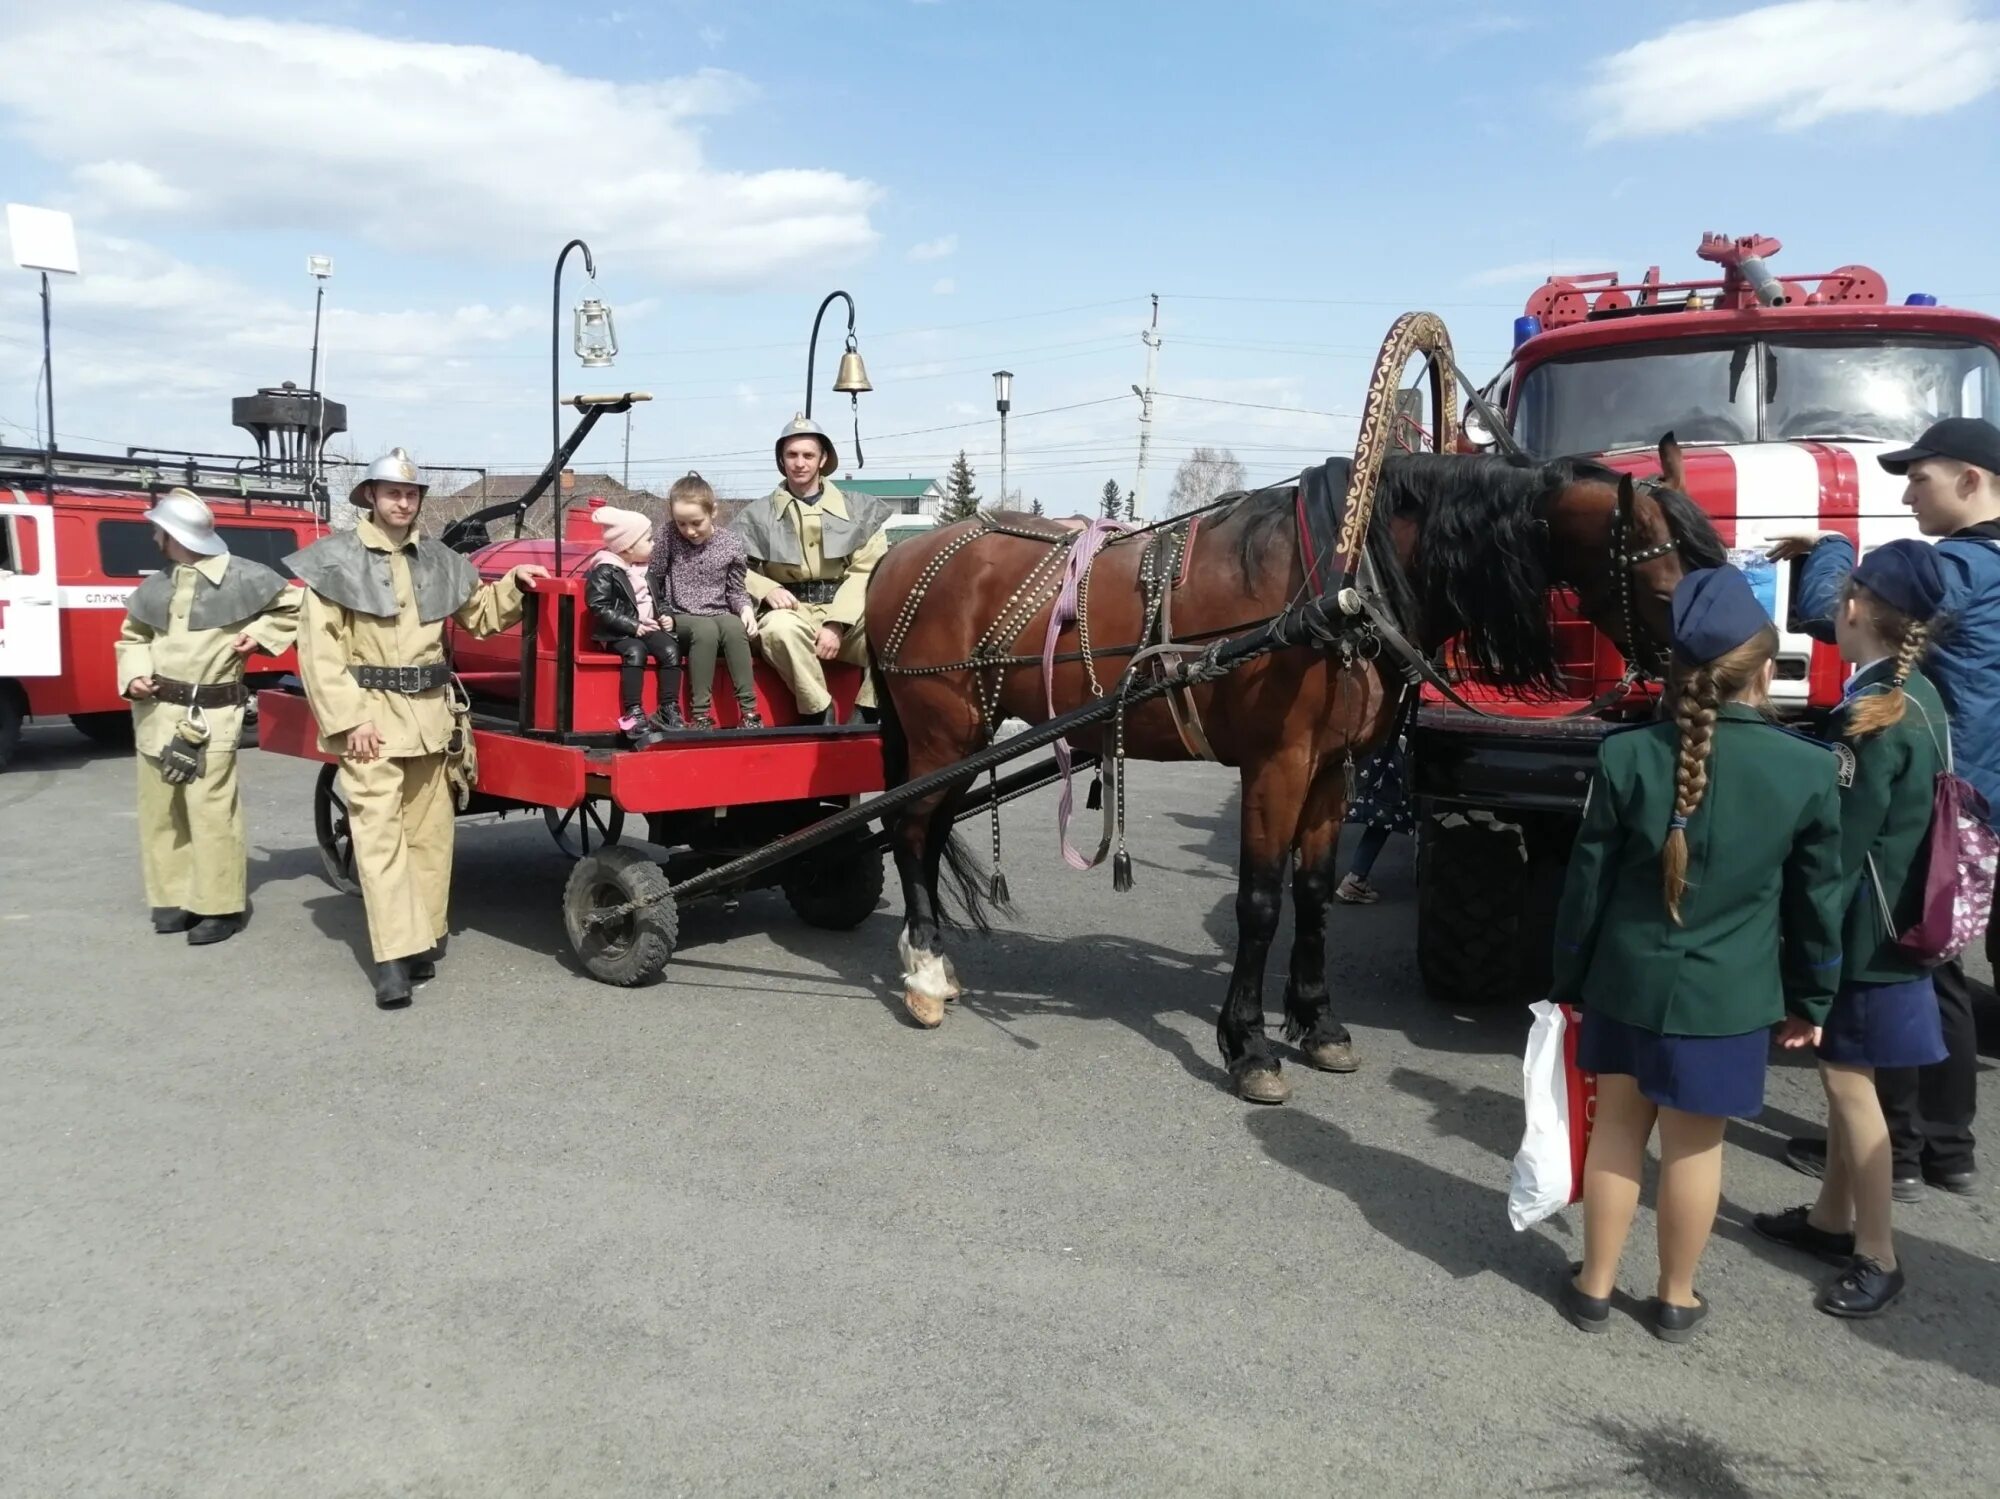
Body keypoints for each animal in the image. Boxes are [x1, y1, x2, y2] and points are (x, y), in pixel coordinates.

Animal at [860, 433, 1720, 1103]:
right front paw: (1249, 1044)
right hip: (945, 731)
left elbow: (1312, 893)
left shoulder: (1333, 770)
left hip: (961, 742)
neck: (1340, 585)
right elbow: (1261, 902)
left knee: (925, 831)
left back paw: (933, 960)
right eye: (1667, 579)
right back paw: (925, 972)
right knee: (907, 827)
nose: (1721, 685)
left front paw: (1317, 1021)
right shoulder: (1277, 764)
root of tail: (900, 556)